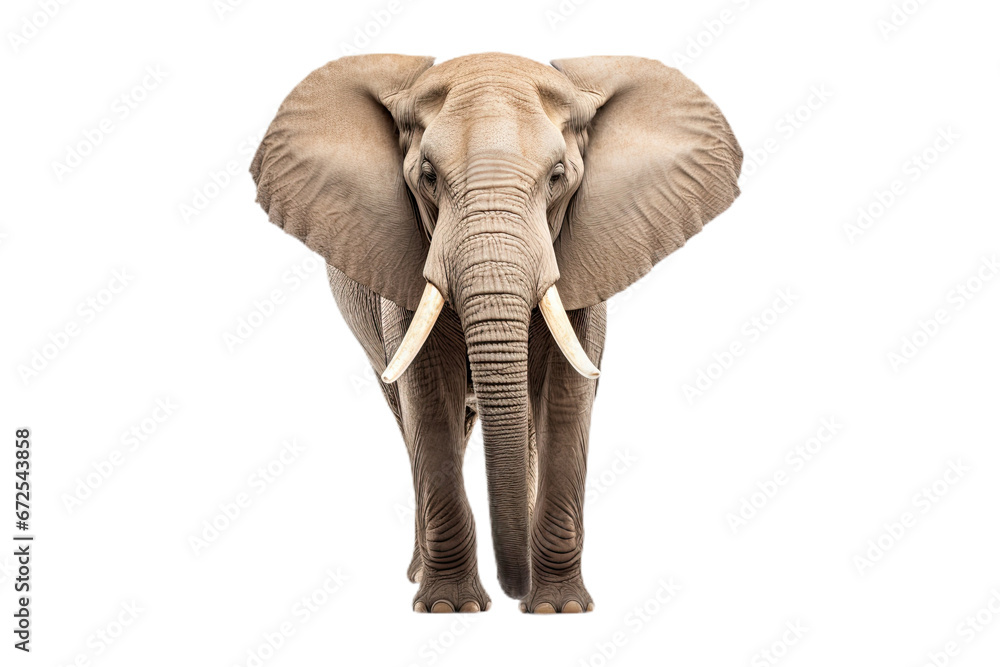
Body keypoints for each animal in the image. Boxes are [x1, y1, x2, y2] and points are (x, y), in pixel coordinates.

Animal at [250, 52, 741, 613]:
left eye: (557, 177)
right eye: (427, 176)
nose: (515, 589)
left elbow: (566, 397)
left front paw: (556, 608)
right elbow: (428, 399)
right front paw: (449, 607)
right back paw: (418, 574)